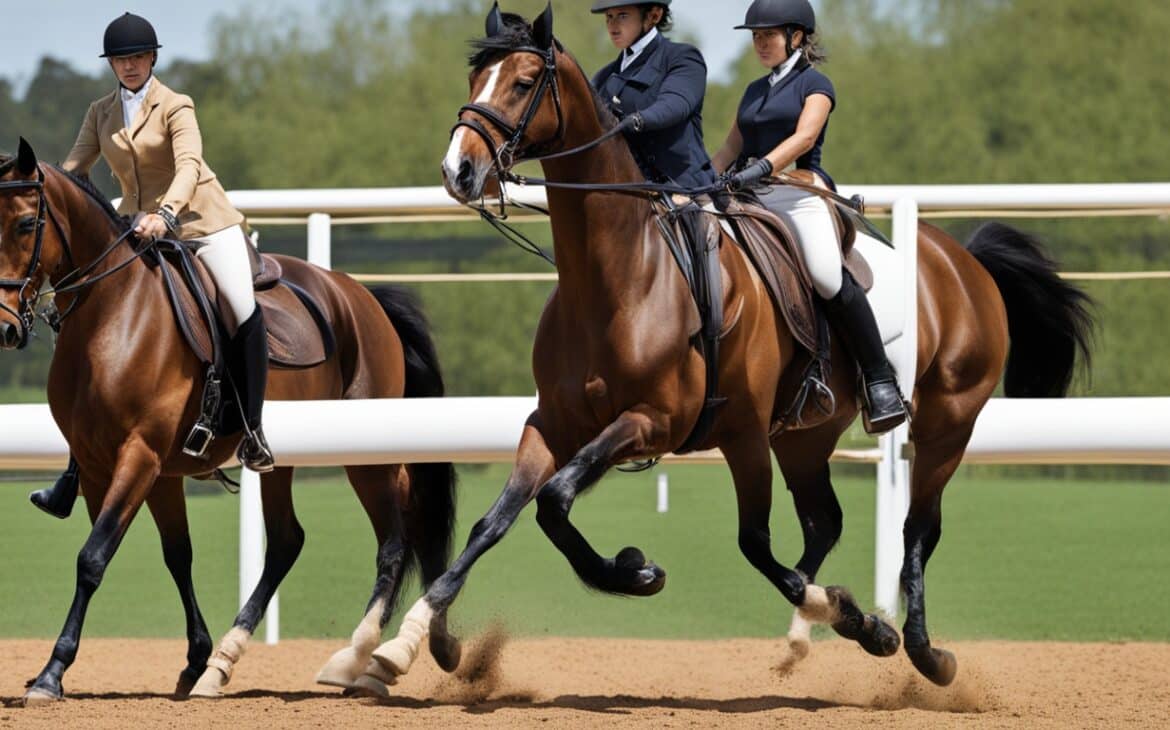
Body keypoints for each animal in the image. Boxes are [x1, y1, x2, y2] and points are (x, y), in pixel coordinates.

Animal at [0, 139, 460, 706]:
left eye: (25, 223)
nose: (4, 326)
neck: (114, 311)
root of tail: (363, 297)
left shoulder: (139, 457)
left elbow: (92, 559)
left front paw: (51, 673)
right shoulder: (114, 469)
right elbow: (175, 556)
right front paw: (196, 660)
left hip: (365, 458)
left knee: (395, 539)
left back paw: (358, 657)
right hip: (281, 465)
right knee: (288, 541)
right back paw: (225, 663)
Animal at [367, 4, 1095, 687]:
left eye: (522, 82)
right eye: (474, 78)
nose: (458, 171)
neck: (619, 275)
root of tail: (960, 258)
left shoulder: (675, 423)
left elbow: (613, 513)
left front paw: (639, 572)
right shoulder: (554, 422)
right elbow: (500, 520)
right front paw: (407, 645)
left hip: (944, 421)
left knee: (916, 528)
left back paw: (919, 649)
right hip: (805, 435)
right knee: (825, 522)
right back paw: (815, 632)